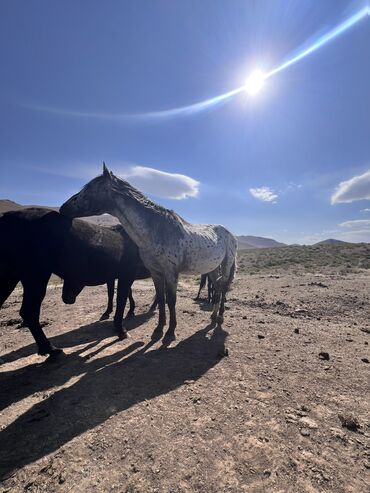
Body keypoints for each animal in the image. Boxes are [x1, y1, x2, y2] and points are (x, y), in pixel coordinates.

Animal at [0, 208, 152, 358]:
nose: (67, 298)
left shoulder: (118, 276)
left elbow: (118, 297)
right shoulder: (126, 275)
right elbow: (121, 300)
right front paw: (120, 329)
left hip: (12, 276)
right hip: (35, 276)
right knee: (29, 312)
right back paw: (50, 349)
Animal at [60, 163, 237, 344]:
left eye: (89, 188)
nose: (63, 208)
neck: (156, 232)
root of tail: (229, 233)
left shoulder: (171, 272)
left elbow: (171, 300)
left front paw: (170, 332)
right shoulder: (155, 272)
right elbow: (160, 298)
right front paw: (159, 329)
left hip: (227, 264)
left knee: (223, 287)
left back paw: (220, 317)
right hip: (212, 268)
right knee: (217, 287)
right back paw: (213, 316)